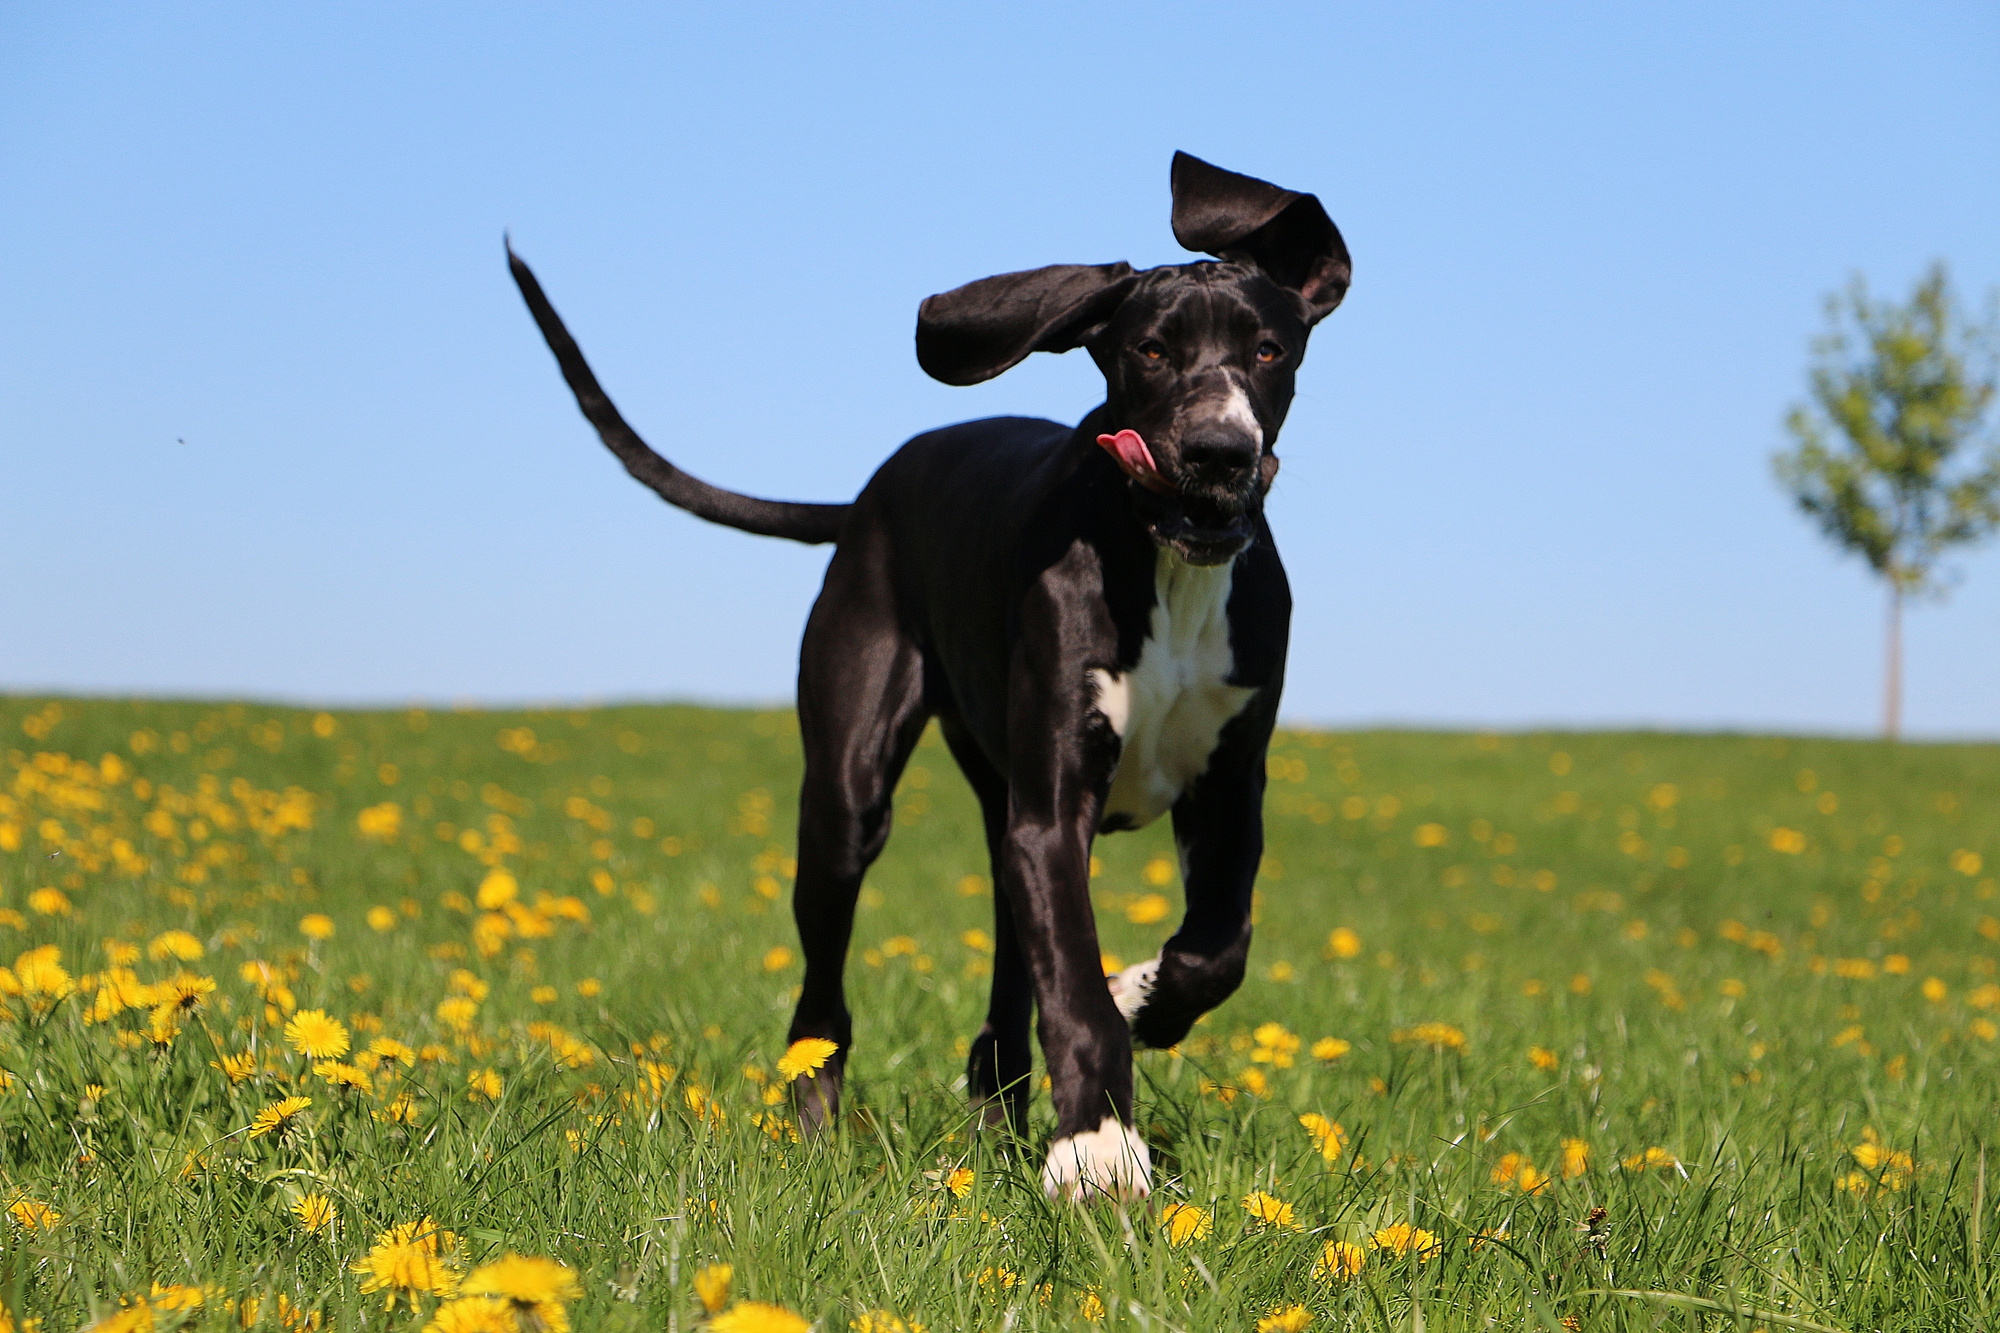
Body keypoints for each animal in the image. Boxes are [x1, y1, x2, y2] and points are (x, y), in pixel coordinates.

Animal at [508, 150, 1352, 1200]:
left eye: (1271, 350)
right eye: (1151, 352)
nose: (1218, 454)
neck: (1168, 566)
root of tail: (868, 494)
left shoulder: (1229, 788)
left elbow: (1215, 949)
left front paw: (1136, 999)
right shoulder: (1052, 809)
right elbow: (1077, 988)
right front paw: (1098, 1147)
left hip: (999, 815)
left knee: (1007, 994)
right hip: (848, 798)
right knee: (823, 1002)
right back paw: (818, 1135)